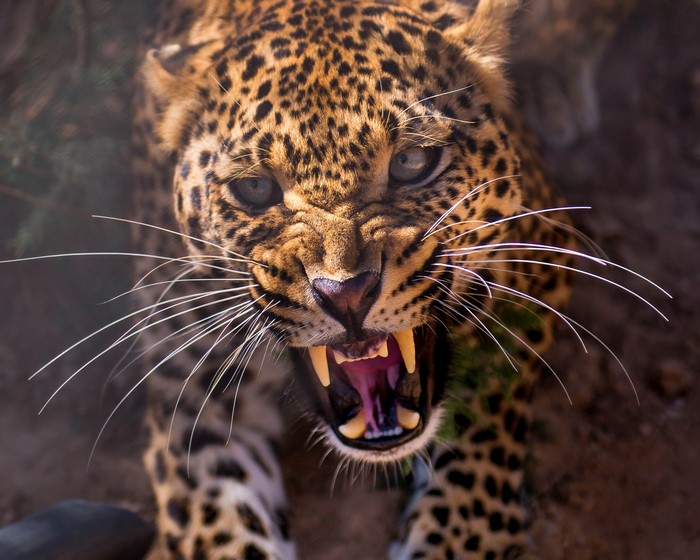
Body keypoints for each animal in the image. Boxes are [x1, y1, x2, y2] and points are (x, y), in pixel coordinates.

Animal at [128, 0, 593, 558]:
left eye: (412, 162)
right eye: (256, 189)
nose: (346, 294)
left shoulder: (537, 269)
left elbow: (481, 433)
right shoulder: (187, 390)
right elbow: (219, 528)